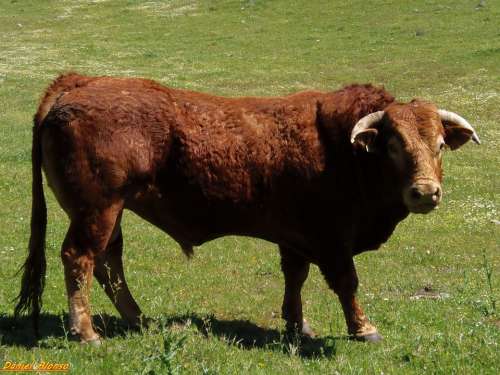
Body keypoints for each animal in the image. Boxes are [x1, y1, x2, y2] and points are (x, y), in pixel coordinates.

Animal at [13, 73, 478, 344]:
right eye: (394, 145)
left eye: (439, 144)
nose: (425, 192)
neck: (342, 148)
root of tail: (78, 83)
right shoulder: (331, 239)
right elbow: (347, 283)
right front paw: (364, 329)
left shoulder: (296, 238)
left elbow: (295, 278)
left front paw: (297, 324)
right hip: (98, 210)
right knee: (81, 258)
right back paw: (86, 332)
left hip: (112, 213)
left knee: (109, 263)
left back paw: (138, 320)